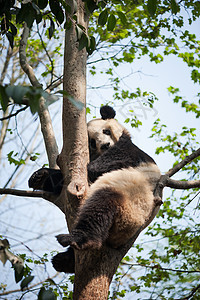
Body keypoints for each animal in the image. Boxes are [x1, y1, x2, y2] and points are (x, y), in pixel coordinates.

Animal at [28, 106, 161, 274]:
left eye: (106, 131)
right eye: (92, 142)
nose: (105, 145)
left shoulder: (130, 152)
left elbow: (97, 167)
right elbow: (66, 181)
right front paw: (39, 177)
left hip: (130, 203)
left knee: (100, 207)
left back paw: (77, 240)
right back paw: (64, 261)